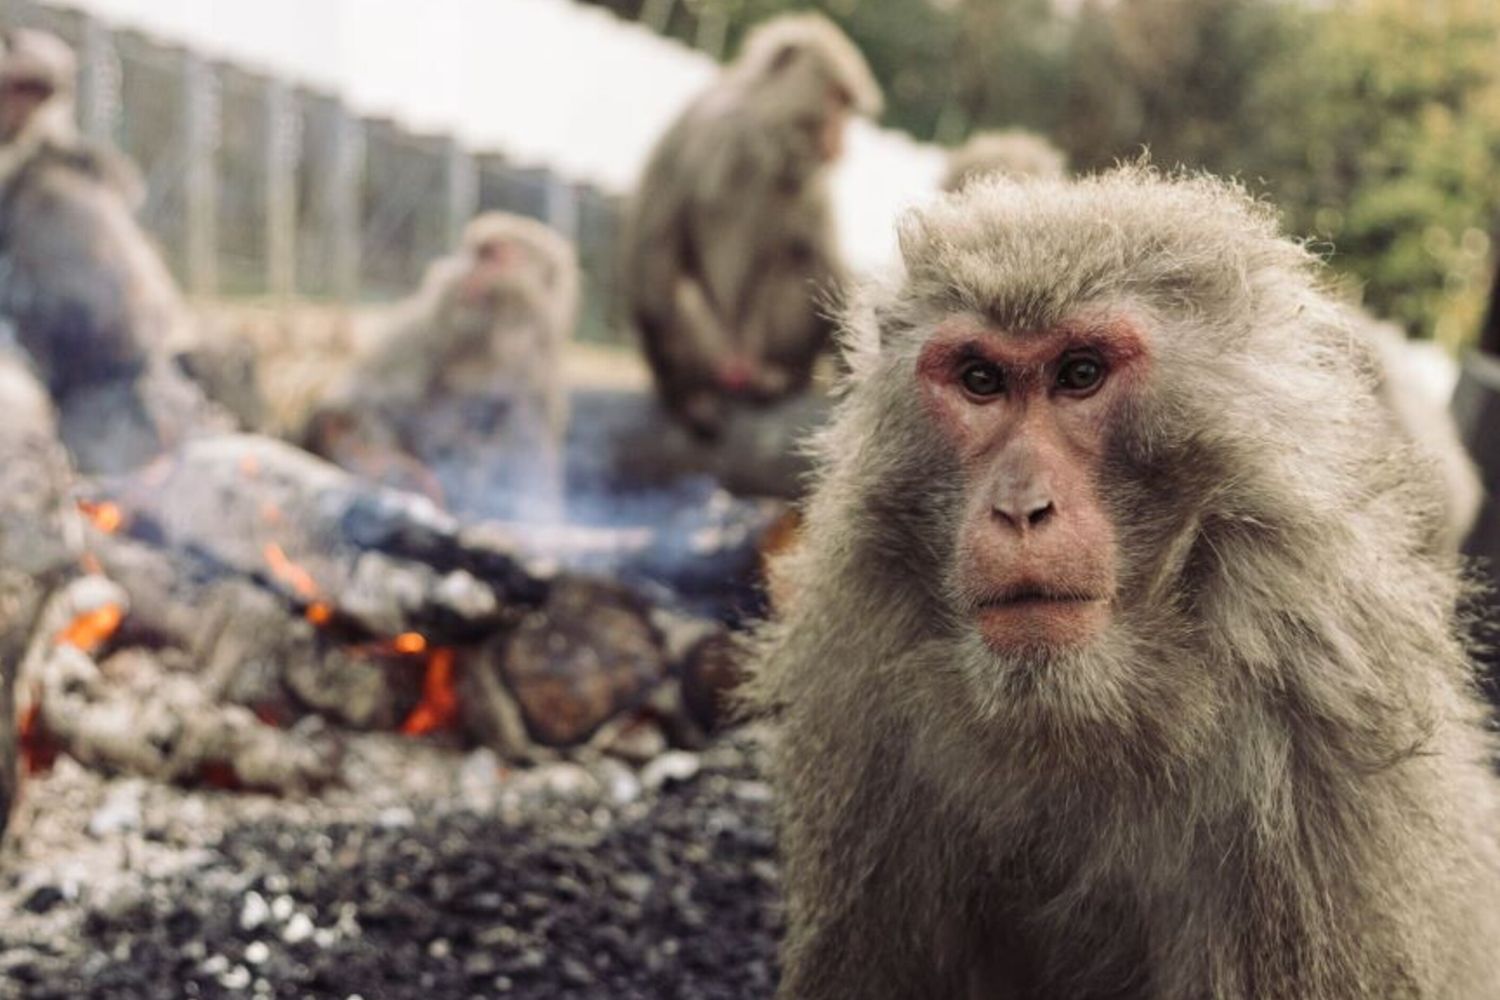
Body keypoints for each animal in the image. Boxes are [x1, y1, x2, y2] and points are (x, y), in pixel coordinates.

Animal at [305, 211, 578, 520]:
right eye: (474, 253)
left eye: (492, 256)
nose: (464, 272)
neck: (496, 341)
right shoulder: (432, 324)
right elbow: (365, 398)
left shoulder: (538, 377)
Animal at [624, 13, 882, 438]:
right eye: (835, 99)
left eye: (847, 105)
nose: (842, 144)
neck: (760, 132)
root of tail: (737, 364)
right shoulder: (696, 127)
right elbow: (653, 242)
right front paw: (680, 395)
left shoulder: (809, 182)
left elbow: (824, 261)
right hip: (716, 348)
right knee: (672, 288)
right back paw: (692, 394)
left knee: (798, 262)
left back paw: (779, 379)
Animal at [746, 167, 1500, 999]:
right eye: (981, 380)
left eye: (1080, 374)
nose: (1021, 508)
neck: (1085, 700)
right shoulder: (862, 718)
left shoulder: (1312, 756)